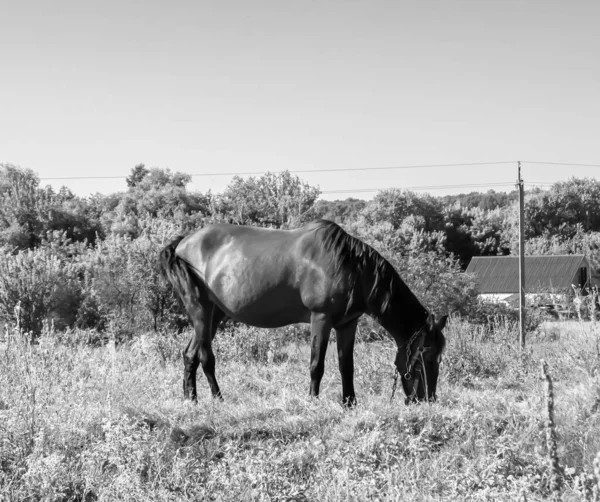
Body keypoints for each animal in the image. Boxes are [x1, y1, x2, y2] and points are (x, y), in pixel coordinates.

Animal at [159, 219, 446, 404]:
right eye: (427, 355)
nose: (428, 400)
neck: (350, 267)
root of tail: (183, 243)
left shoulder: (347, 324)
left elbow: (346, 366)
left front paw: (349, 403)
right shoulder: (321, 319)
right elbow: (317, 364)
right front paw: (313, 401)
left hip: (214, 314)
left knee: (190, 354)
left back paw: (191, 400)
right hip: (201, 309)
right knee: (205, 356)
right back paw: (218, 399)